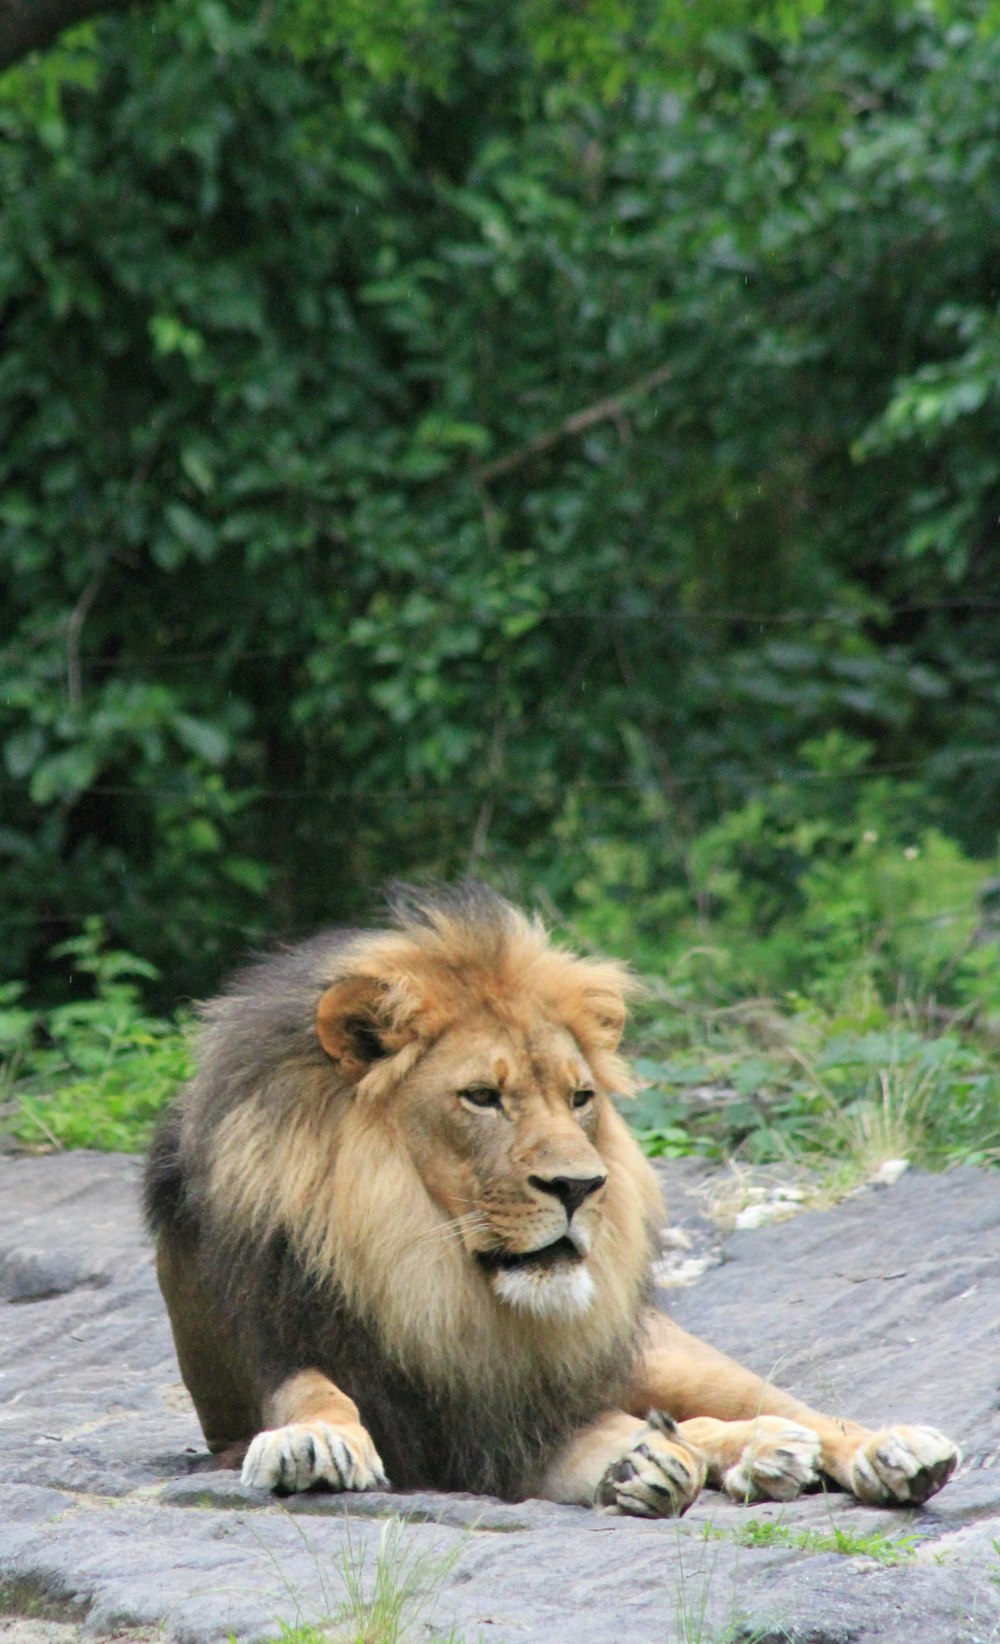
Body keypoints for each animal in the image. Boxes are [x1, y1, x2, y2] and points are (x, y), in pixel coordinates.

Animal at [142, 887, 960, 1512]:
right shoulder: (264, 1359)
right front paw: (316, 1441)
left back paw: (884, 1452)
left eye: (580, 1098)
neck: (422, 1269)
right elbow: (308, 1391)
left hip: (664, 1352)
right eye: (481, 1096)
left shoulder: (513, 1418)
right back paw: (756, 1458)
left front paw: (650, 1458)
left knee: (785, 1407)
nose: (580, 1186)